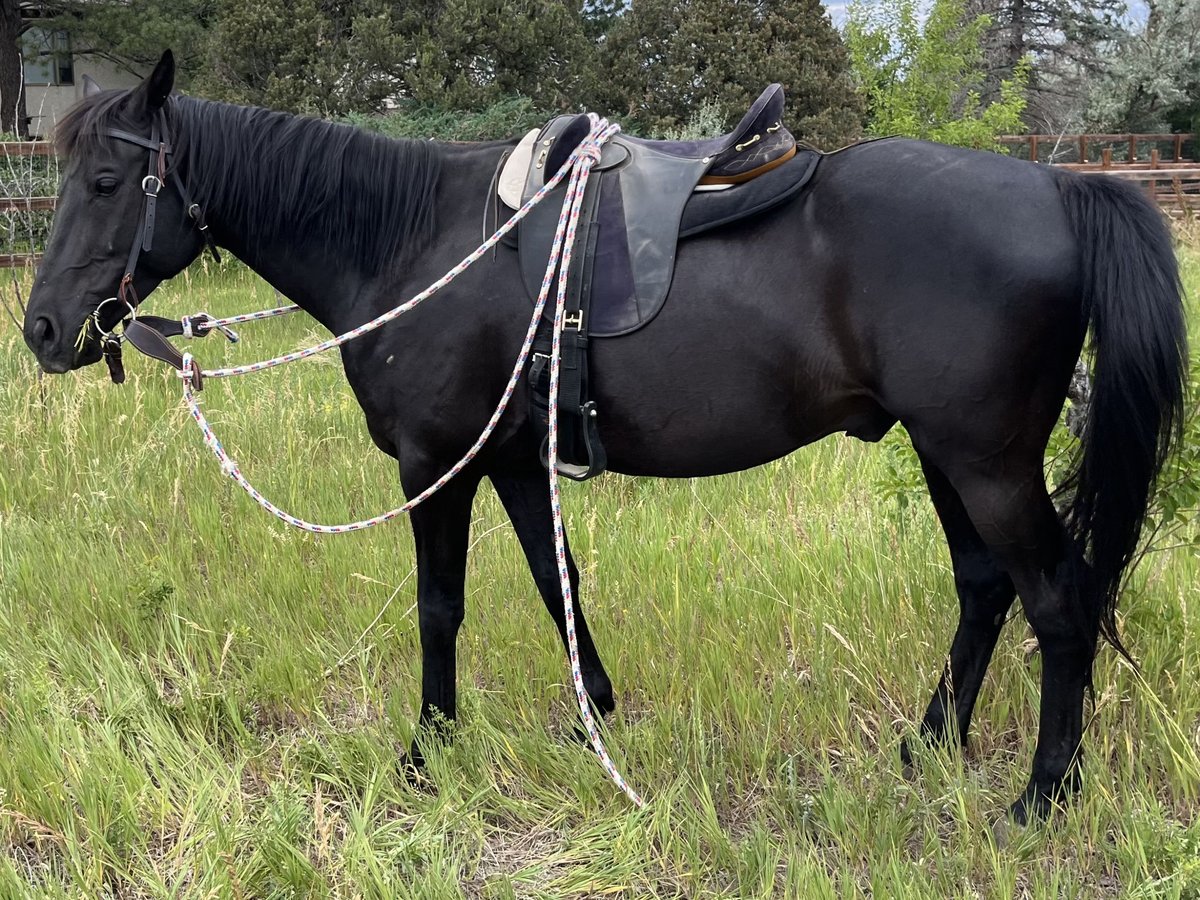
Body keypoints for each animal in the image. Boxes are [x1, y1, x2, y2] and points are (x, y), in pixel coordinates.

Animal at [23, 51, 1185, 825]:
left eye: (106, 184)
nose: (40, 330)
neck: (408, 238)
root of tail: (1058, 185)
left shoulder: (437, 464)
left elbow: (439, 608)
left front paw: (427, 752)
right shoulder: (509, 461)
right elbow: (556, 581)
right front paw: (598, 714)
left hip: (987, 463)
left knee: (1058, 601)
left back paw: (1044, 793)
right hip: (948, 453)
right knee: (986, 589)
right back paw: (929, 746)